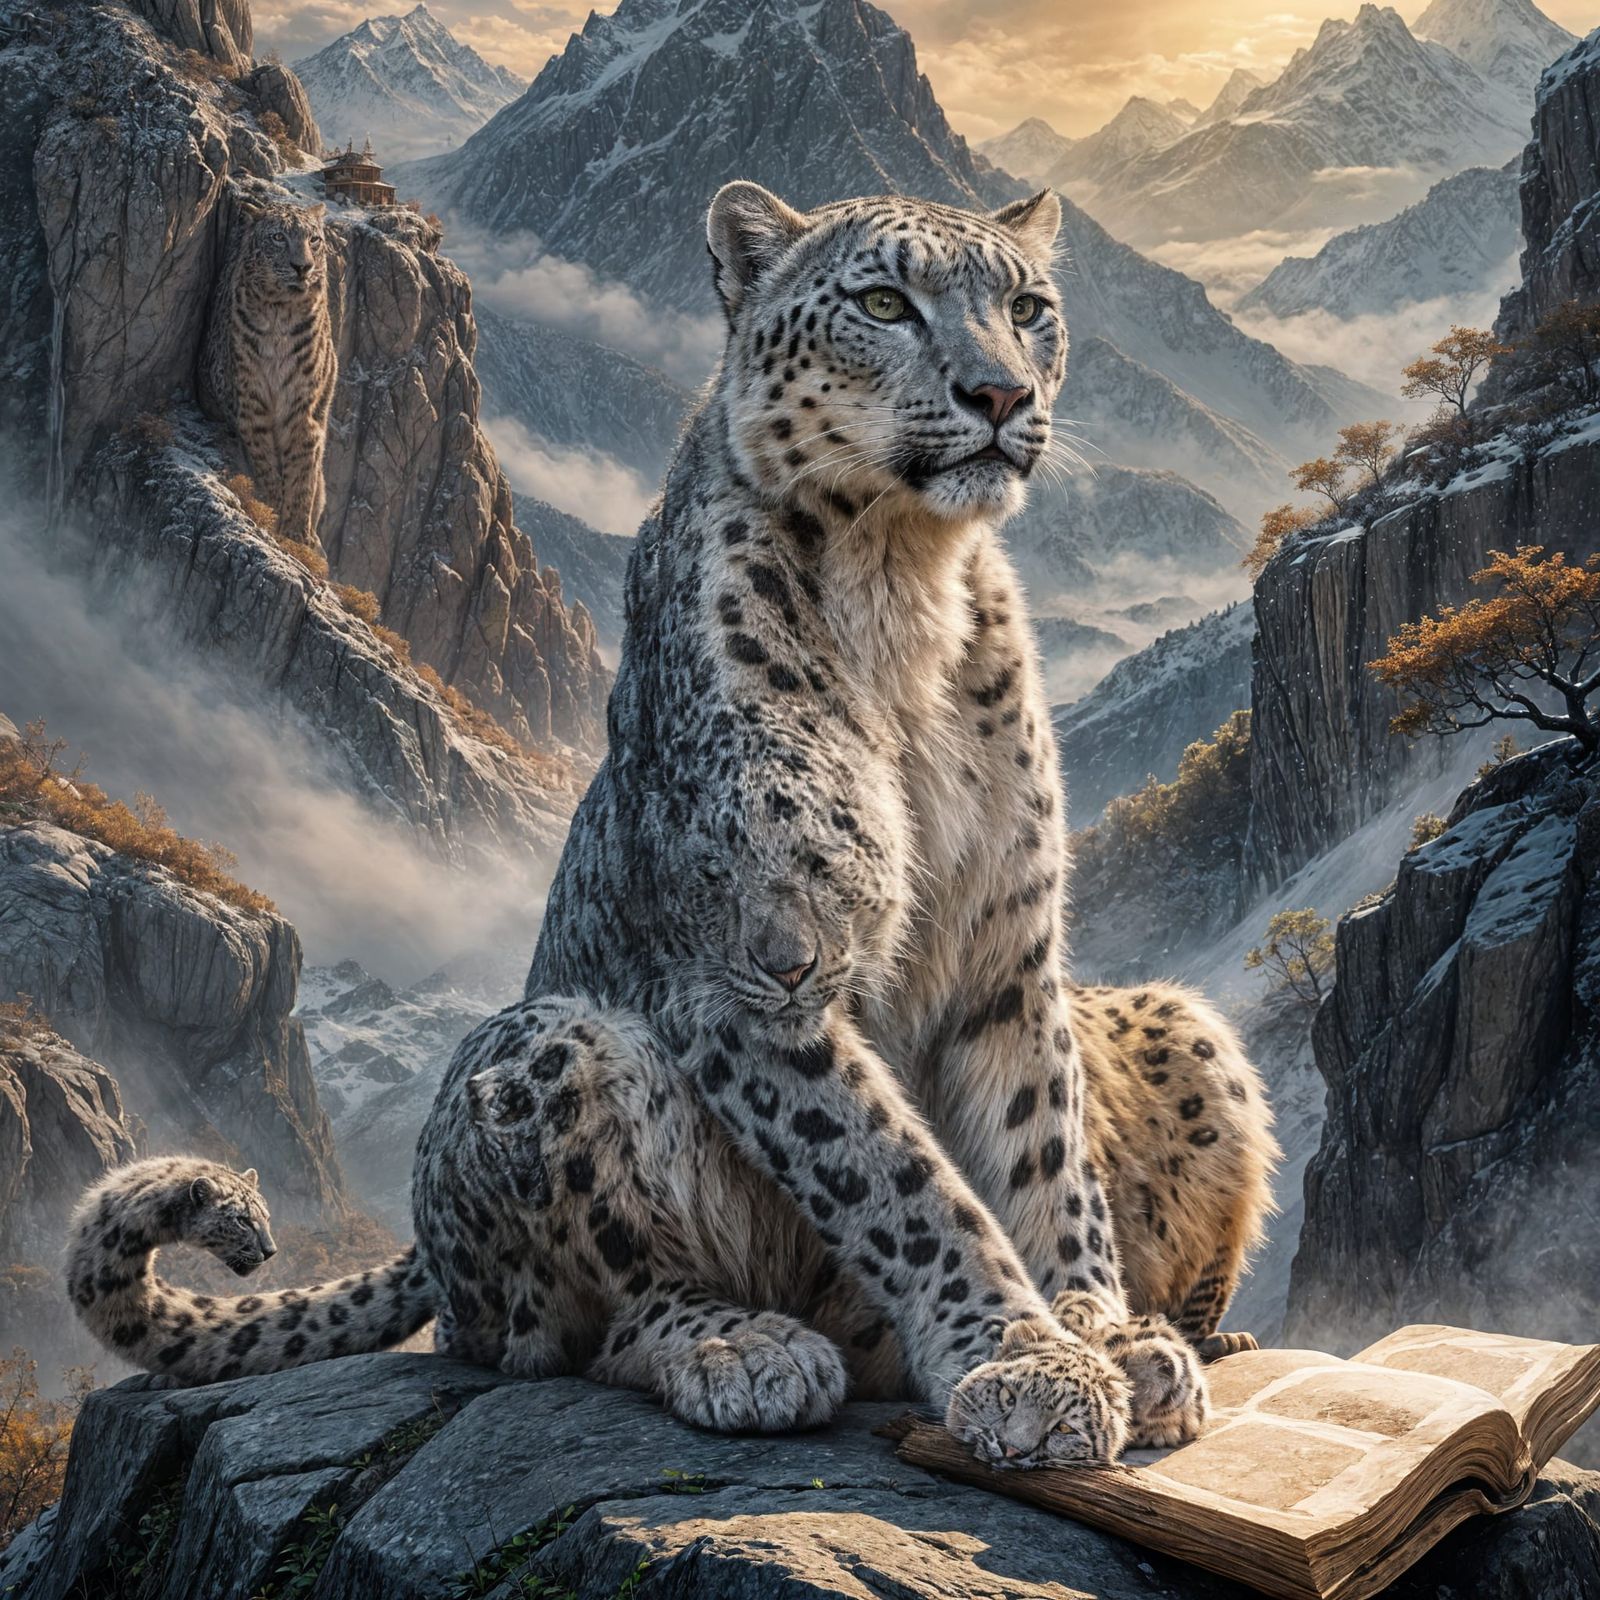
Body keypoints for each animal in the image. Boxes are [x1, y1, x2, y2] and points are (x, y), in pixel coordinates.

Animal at [199, 187, 336, 547]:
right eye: (278, 237)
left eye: (314, 239)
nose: (303, 267)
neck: (280, 316)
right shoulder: (252, 398)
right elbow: (263, 460)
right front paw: (274, 507)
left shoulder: (303, 405)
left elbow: (303, 470)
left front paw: (297, 532)